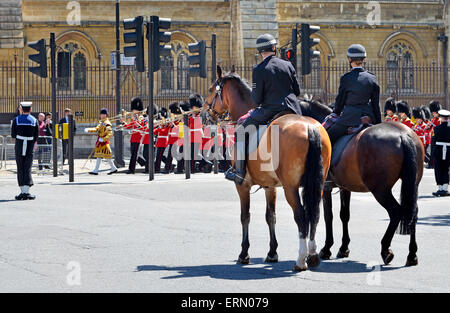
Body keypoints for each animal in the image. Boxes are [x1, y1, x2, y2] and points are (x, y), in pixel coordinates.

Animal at [206, 66, 332, 270]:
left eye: (211, 89)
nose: (205, 114)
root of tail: (309, 127)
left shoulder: (242, 185)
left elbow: (245, 216)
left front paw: (244, 254)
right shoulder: (270, 186)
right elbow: (270, 216)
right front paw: (272, 252)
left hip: (291, 188)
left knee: (301, 216)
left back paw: (301, 259)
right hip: (318, 184)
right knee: (315, 215)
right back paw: (312, 256)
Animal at [300, 98, 424, 264]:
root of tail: (403, 135)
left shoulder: (325, 187)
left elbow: (328, 216)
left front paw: (327, 248)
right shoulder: (345, 186)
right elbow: (344, 215)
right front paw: (343, 248)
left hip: (380, 190)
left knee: (395, 212)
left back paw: (386, 249)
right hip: (412, 185)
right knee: (413, 213)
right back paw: (412, 254)